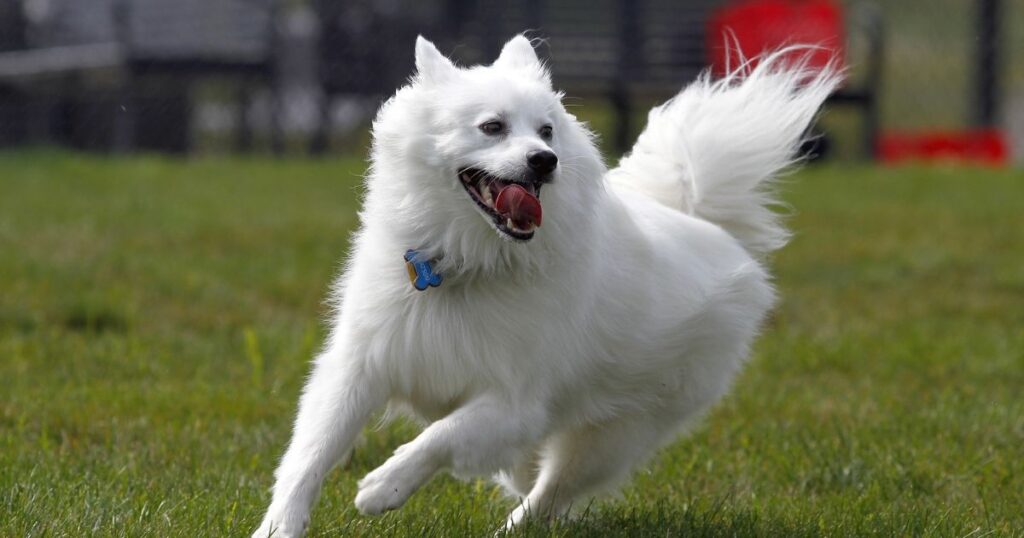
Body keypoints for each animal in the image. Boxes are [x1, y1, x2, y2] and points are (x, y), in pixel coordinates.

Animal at [256, 35, 839, 532]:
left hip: (611, 436)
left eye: (547, 131)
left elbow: (440, 437)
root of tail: (699, 220)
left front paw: (382, 487)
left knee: (547, 497)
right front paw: (279, 526)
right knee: (528, 479)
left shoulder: (515, 402)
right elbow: (310, 454)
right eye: (492, 127)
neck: (465, 262)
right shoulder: (359, 367)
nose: (544, 161)